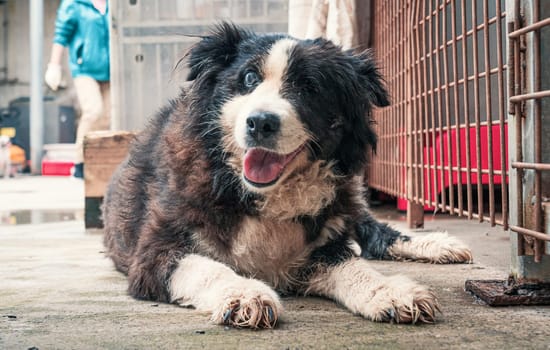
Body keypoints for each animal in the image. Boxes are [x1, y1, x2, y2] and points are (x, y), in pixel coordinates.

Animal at [104, 22, 474, 328]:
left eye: (310, 88)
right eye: (249, 79)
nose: (260, 123)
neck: (256, 192)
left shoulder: (323, 244)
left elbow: (355, 266)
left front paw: (389, 290)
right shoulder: (154, 252)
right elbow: (207, 268)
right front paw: (244, 293)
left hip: (347, 198)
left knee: (372, 228)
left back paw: (437, 243)